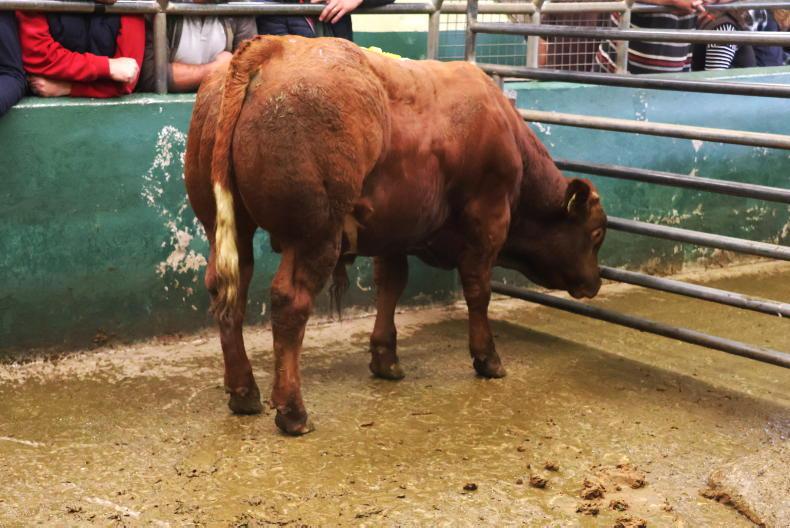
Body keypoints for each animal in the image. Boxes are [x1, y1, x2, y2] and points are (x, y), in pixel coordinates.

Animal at [184, 35, 606, 435]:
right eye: (597, 233)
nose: (595, 282)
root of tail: (272, 47)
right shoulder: (488, 220)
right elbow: (478, 291)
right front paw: (487, 358)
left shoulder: (392, 231)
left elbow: (390, 285)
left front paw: (385, 357)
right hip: (315, 235)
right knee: (290, 301)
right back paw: (292, 411)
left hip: (227, 226)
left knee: (227, 293)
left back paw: (243, 392)